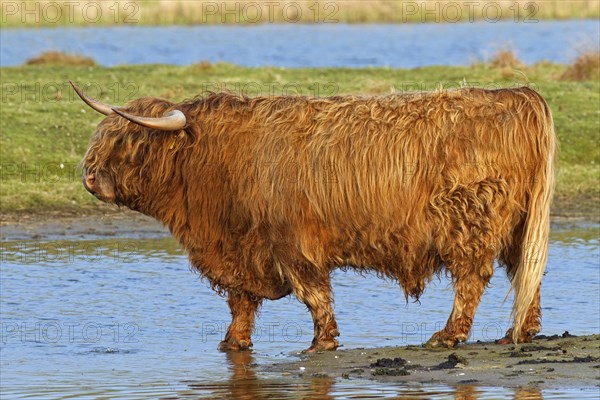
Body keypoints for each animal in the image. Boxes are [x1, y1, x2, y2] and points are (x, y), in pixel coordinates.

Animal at [72, 80, 556, 350]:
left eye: (131, 141)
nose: (90, 177)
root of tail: (517, 96)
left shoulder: (290, 242)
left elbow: (313, 295)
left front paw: (322, 341)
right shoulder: (244, 248)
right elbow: (241, 300)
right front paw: (233, 342)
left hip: (469, 221)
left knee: (472, 277)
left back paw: (449, 334)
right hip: (519, 225)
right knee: (525, 271)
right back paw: (523, 331)